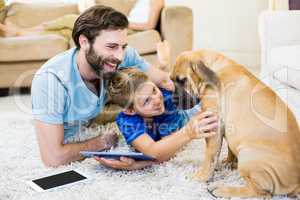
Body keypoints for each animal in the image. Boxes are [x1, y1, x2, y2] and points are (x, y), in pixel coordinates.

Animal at [171, 49, 300, 198]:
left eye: (182, 80)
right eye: (171, 80)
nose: (173, 100)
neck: (215, 66)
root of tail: (297, 183)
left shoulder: (213, 124)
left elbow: (209, 156)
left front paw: (201, 177)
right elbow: (229, 148)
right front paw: (228, 162)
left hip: (248, 156)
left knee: (260, 192)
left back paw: (221, 189)